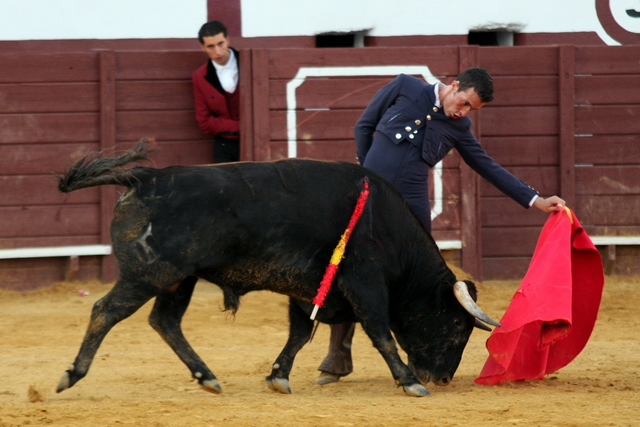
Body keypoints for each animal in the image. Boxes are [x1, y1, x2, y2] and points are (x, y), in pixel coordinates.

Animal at [55, 142, 500, 400]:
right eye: (457, 326)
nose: (442, 378)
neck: (385, 223)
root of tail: (146, 176)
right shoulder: (365, 282)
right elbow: (379, 332)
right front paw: (409, 381)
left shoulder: (311, 291)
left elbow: (299, 334)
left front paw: (278, 376)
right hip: (149, 274)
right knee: (105, 311)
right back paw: (72, 374)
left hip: (178, 279)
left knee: (164, 321)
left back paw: (207, 377)